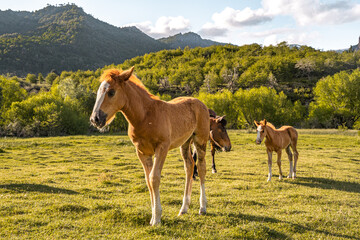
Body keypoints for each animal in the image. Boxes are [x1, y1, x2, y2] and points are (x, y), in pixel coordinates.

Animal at [88, 67, 210, 225]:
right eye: (98, 92)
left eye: (111, 92)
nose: (95, 119)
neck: (145, 117)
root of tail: (201, 103)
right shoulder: (142, 152)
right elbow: (148, 181)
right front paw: (152, 218)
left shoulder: (162, 147)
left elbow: (154, 178)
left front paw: (157, 218)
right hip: (185, 143)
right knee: (189, 166)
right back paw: (184, 208)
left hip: (200, 140)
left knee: (201, 168)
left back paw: (202, 207)